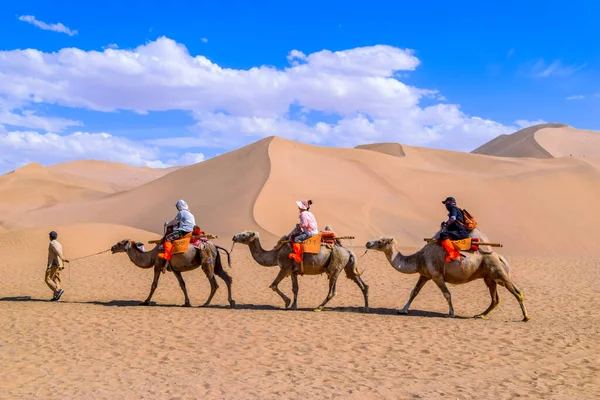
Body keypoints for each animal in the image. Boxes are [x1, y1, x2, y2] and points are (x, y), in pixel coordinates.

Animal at [231, 228, 368, 312]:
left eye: (244, 234)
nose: (234, 237)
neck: (275, 254)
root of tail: (348, 251)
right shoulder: (293, 272)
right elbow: (295, 288)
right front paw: (293, 306)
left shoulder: (284, 268)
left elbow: (273, 285)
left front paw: (287, 302)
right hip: (347, 266)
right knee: (361, 284)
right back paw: (366, 308)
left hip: (335, 267)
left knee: (332, 291)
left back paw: (318, 307)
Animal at [366, 234, 528, 322]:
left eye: (380, 241)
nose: (367, 242)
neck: (419, 258)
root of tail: (499, 256)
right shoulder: (424, 275)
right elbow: (414, 292)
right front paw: (403, 310)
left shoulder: (436, 275)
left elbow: (447, 294)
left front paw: (451, 313)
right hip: (489, 277)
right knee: (495, 299)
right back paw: (480, 315)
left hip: (498, 273)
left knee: (516, 291)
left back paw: (526, 317)